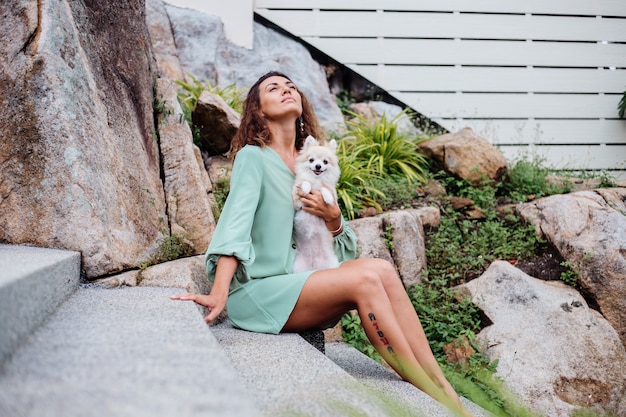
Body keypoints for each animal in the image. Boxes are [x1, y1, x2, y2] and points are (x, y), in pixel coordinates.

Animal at [292, 136, 338, 272]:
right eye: (311, 160)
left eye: (325, 162)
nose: (318, 166)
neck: (317, 179)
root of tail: (314, 266)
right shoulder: (297, 201)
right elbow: (305, 182)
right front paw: (306, 187)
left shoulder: (332, 191)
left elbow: (325, 189)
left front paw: (327, 198)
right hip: (298, 268)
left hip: (331, 265)